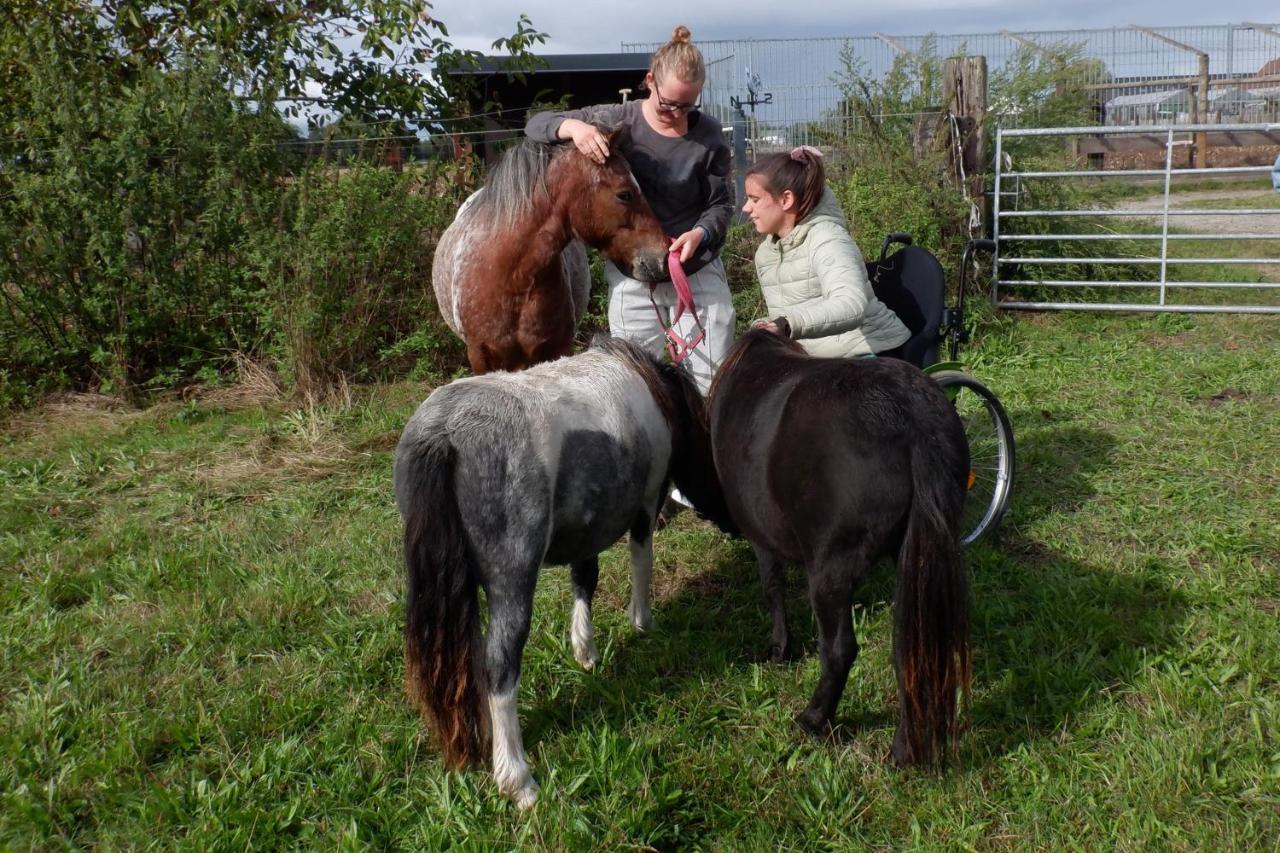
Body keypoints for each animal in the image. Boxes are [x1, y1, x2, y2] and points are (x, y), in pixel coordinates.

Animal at [391, 333, 732, 804]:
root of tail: (444, 433)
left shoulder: (587, 524)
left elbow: (584, 580)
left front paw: (585, 652)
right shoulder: (645, 506)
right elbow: (640, 561)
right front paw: (643, 623)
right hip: (512, 578)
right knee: (499, 663)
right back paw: (516, 779)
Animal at [711, 326, 967, 763]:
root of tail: (912, 416)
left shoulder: (762, 538)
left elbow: (772, 587)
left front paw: (779, 648)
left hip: (830, 573)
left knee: (839, 650)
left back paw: (814, 719)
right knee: (910, 648)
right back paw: (904, 748)